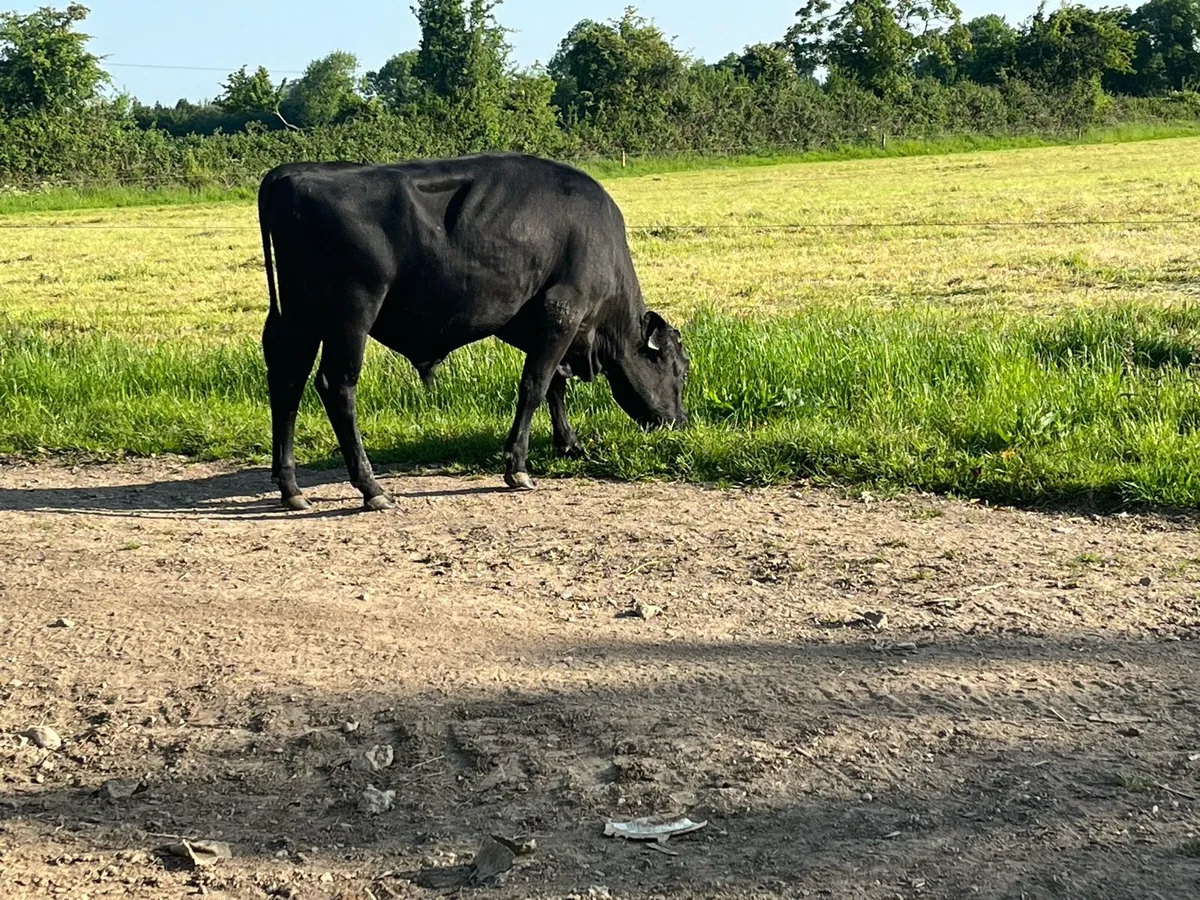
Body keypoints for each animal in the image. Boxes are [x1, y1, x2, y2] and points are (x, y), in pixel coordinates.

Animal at [257, 152, 689, 512]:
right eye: (681, 371)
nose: (680, 422)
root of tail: (292, 173)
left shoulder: (535, 324)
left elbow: (554, 385)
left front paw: (569, 444)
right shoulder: (562, 312)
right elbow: (534, 386)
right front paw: (518, 466)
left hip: (295, 319)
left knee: (287, 383)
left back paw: (291, 488)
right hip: (351, 313)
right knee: (336, 386)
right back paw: (371, 488)